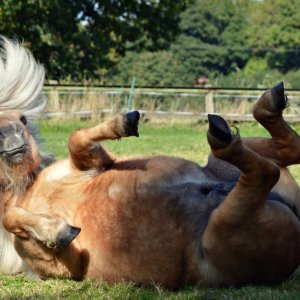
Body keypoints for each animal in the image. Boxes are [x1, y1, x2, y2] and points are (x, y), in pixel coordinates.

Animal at [0, 38, 300, 288]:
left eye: (22, 118)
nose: (8, 134)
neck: (28, 191)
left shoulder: (94, 163)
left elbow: (76, 139)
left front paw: (123, 123)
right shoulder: (68, 266)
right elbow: (10, 218)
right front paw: (57, 230)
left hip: (219, 175)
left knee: (280, 154)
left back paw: (258, 110)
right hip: (220, 230)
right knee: (265, 170)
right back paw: (230, 131)